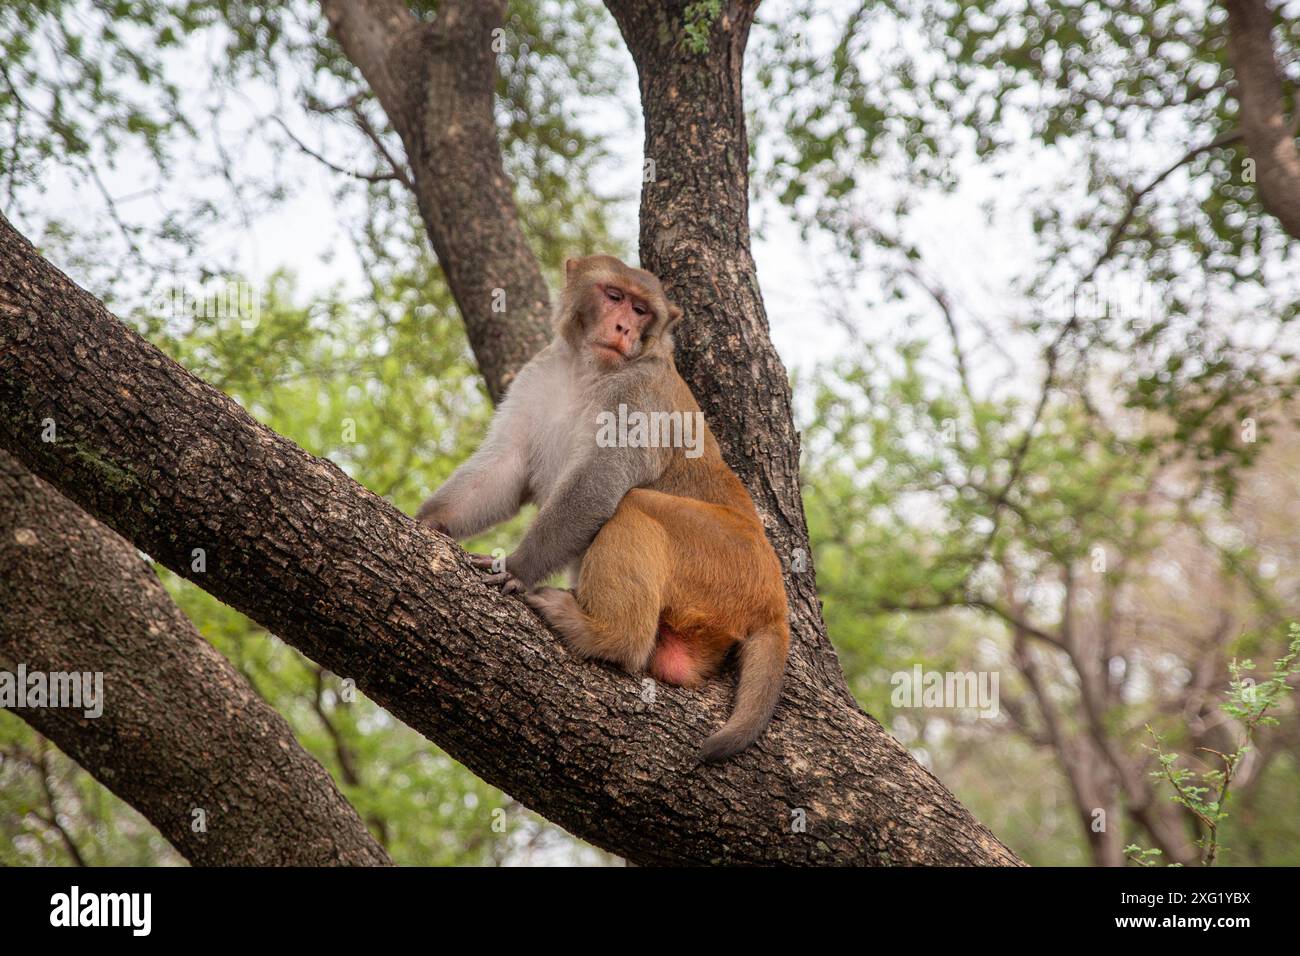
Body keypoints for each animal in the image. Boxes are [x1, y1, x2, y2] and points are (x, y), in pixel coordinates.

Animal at [416, 256, 785, 764]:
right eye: (614, 296)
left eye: (641, 309)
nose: (624, 326)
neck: (588, 371)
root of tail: (775, 597)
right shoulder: (539, 374)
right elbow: (506, 466)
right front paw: (429, 520)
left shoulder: (639, 395)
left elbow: (600, 480)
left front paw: (518, 568)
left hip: (726, 559)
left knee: (631, 506)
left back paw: (608, 638)